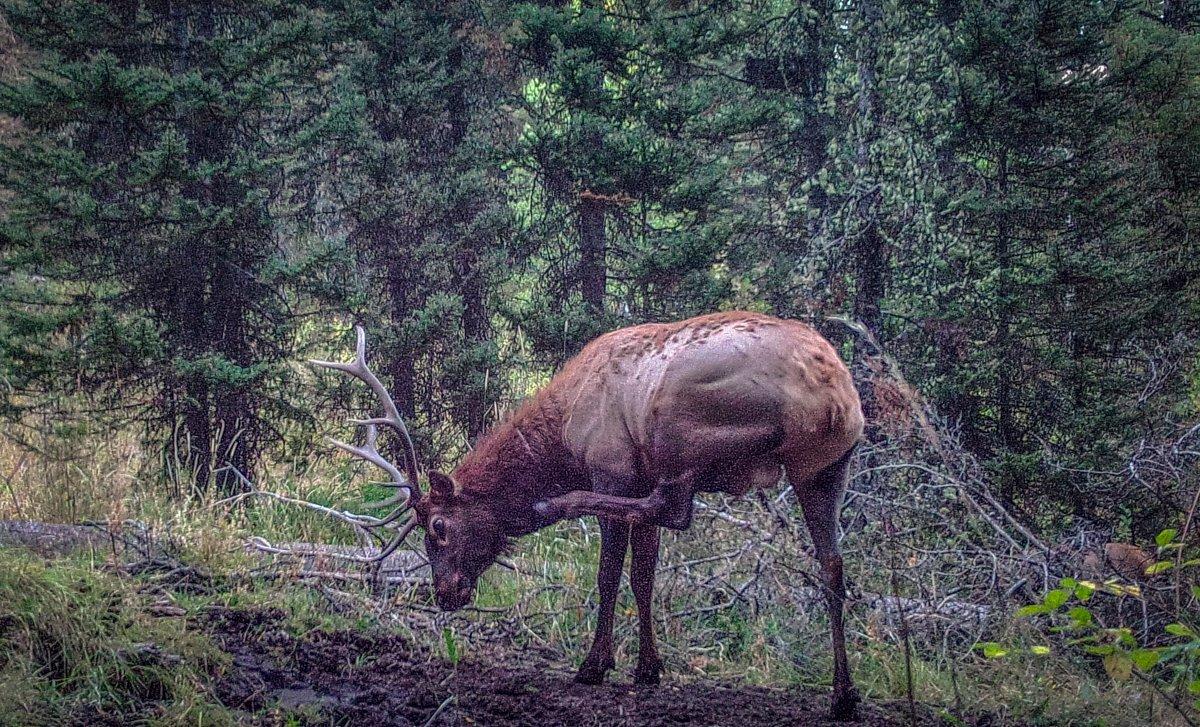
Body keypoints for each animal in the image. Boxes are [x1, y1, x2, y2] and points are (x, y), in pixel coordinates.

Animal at [309, 311, 864, 719]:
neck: (562, 438)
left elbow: (609, 574)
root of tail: (835, 396)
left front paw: (595, 664)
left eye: (438, 528)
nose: (445, 593)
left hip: (683, 427)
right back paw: (843, 694)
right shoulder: (635, 481)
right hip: (826, 468)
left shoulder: (613, 470)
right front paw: (648, 668)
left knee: (675, 507)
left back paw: (555, 505)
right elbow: (644, 575)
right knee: (833, 565)